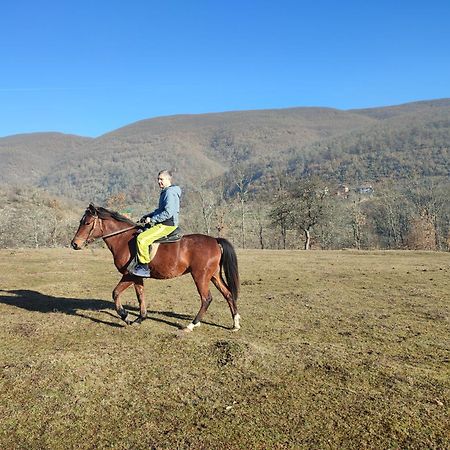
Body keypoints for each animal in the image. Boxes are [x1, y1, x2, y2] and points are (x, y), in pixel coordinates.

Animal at [70, 204, 241, 330]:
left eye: (86, 223)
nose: (74, 244)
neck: (123, 239)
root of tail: (215, 240)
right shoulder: (137, 276)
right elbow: (140, 296)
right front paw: (140, 318)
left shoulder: (128, 275)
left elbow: (116, 293)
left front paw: (125, 315)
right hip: (214, 275)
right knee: (228, 294)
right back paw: (235, 323)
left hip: (201, 276)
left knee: (207, 299)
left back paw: (192, 325)